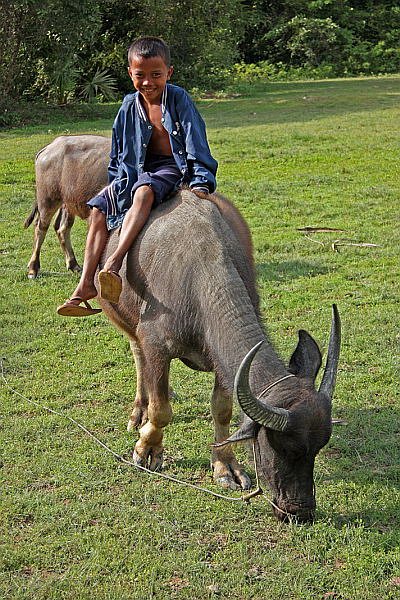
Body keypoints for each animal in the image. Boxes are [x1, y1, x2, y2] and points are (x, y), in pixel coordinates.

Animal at [25, 135, 110, 278]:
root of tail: (49, 147)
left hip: (67, 203)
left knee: (62, 228)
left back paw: (74, 264)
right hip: (48, 199)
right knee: (40, 227)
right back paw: (33, 269)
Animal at [97, 190, 340, 524]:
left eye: (318, 448)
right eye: (278, 446)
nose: (298, 511)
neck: (201, 279)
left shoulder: (223, 366)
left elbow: (222, 410)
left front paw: (226, 467)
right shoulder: (156, 344)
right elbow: (161, 410)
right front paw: (147, 449)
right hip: (122, 318)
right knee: (137, 354)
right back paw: (138, 411)